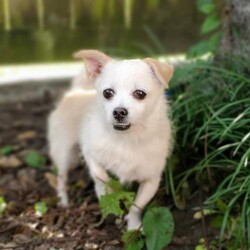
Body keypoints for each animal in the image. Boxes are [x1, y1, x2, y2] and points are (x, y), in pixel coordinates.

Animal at [48, 50, 174, 230]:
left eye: (140, 94)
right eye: (107, 93)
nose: (119, 111)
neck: (126, 139)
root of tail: (77, 89)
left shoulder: (152, 180)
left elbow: (137, 206)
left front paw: (133, 225)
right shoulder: (90, 154)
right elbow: (101, 176)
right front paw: (107, 193)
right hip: (64, 152)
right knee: (61, 178)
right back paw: (64, 201)